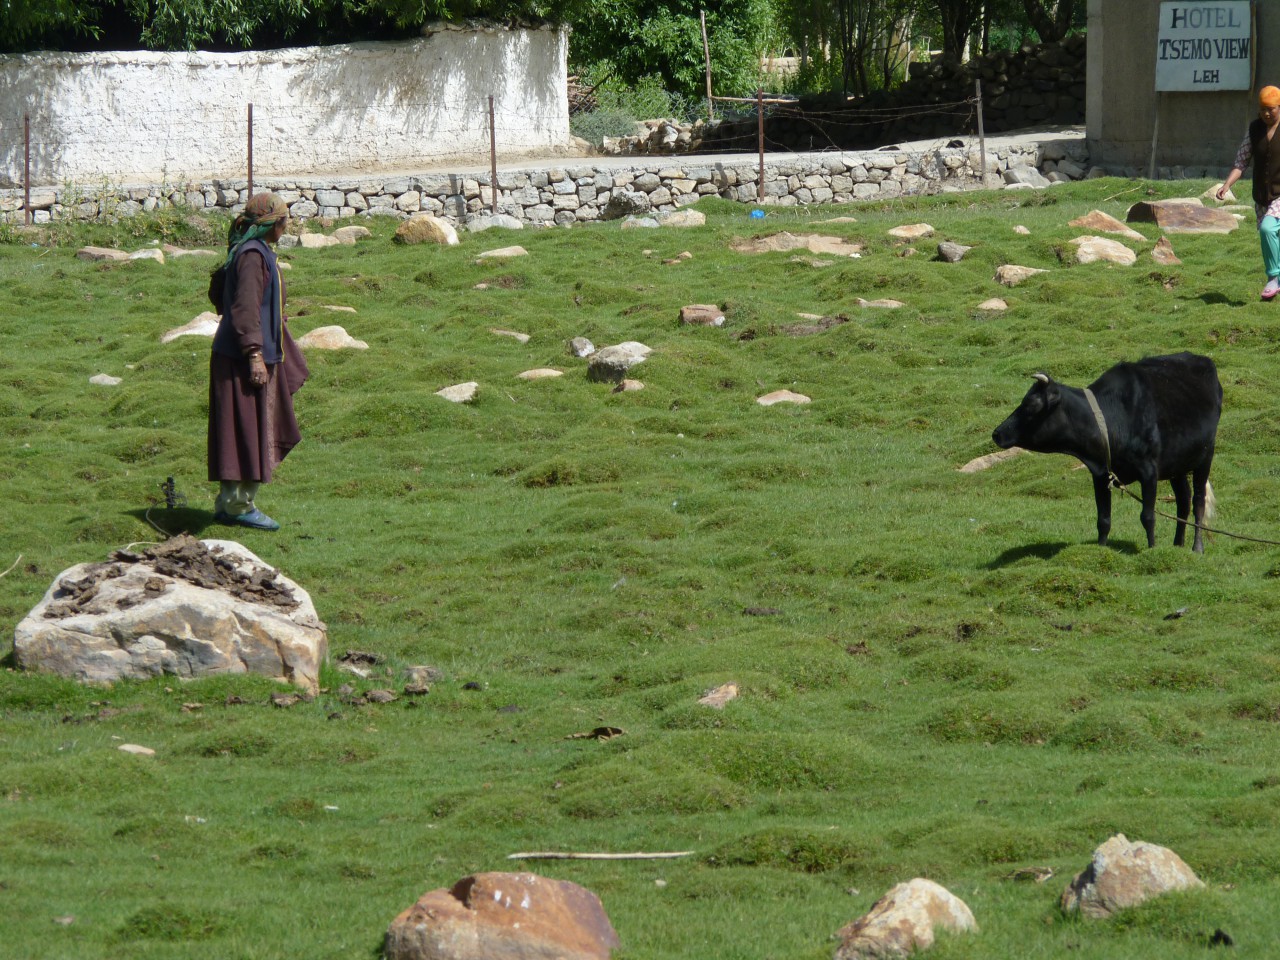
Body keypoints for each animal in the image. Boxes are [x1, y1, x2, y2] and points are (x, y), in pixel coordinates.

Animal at [988, 353, 1218, 552]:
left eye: (1031, 404)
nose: (997, 433)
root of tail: (1202, 359)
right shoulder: (1100, 474)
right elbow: (1103, 519)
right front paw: (1100, 550)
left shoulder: (1149, 471)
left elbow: (1148, 516)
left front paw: (1152, 550)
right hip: (1178, 465)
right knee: (1183, 499)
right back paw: (1178, 545)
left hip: (1205, 457)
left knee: (1198, 501)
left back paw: (1197, 547)